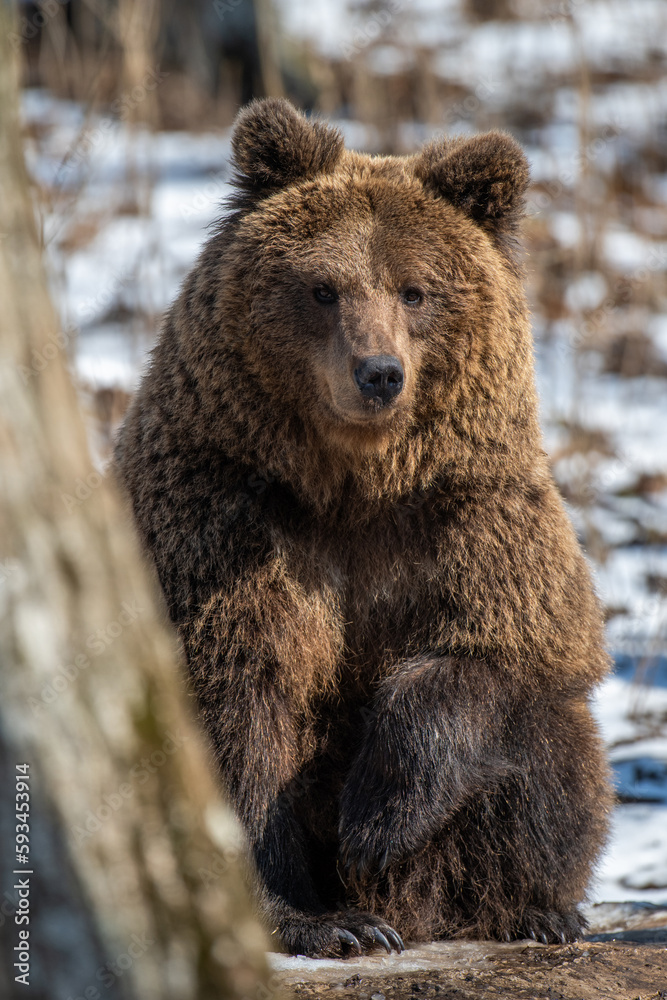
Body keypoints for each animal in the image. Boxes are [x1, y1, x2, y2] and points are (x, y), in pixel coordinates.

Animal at [114, 98, 612, 958]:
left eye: (416, 291)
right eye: (322, 288)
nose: (378, 373)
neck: (353, 486)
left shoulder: (468, 520)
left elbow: (503, 651)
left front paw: (375, 822)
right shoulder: (220, 521)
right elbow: (240, 719)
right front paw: (314, 918)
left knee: (555, 753)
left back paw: (530, 908)